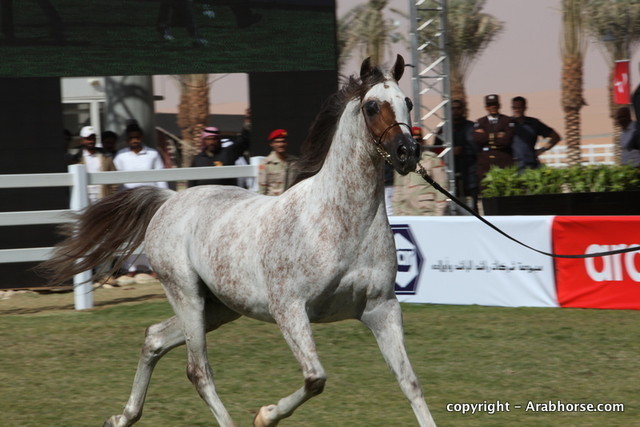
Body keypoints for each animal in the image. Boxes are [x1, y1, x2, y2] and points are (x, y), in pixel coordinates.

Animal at [42, 55, 436, 427]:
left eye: (407, 102)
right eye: (372, 106)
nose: (407, 153)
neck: (339, 223)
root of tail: (169, 199)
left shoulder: (381, 309)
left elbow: (410, 383)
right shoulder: (290, 310)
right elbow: (315, 378)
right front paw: (265, 415)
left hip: (218, 307)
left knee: (154, 338)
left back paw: (121, 418)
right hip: (186, 296)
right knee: (198, 370)